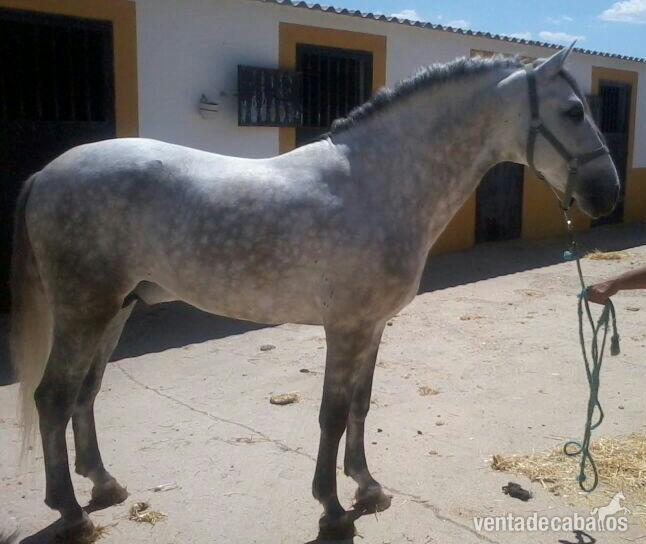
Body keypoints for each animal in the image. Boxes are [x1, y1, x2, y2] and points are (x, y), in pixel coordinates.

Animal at [11, 44, 619, 540]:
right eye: (574, 112)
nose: (607, 194)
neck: (376, 184)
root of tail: (46, 174)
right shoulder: (344, 327)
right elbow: (331, 412)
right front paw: (331, 506)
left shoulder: (372, 326)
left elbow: (360, 405)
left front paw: (367, 487)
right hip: (83, 311)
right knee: (53, 398)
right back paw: (71, 512)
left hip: (115, 310)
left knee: (85, 393)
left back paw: (104, 485)